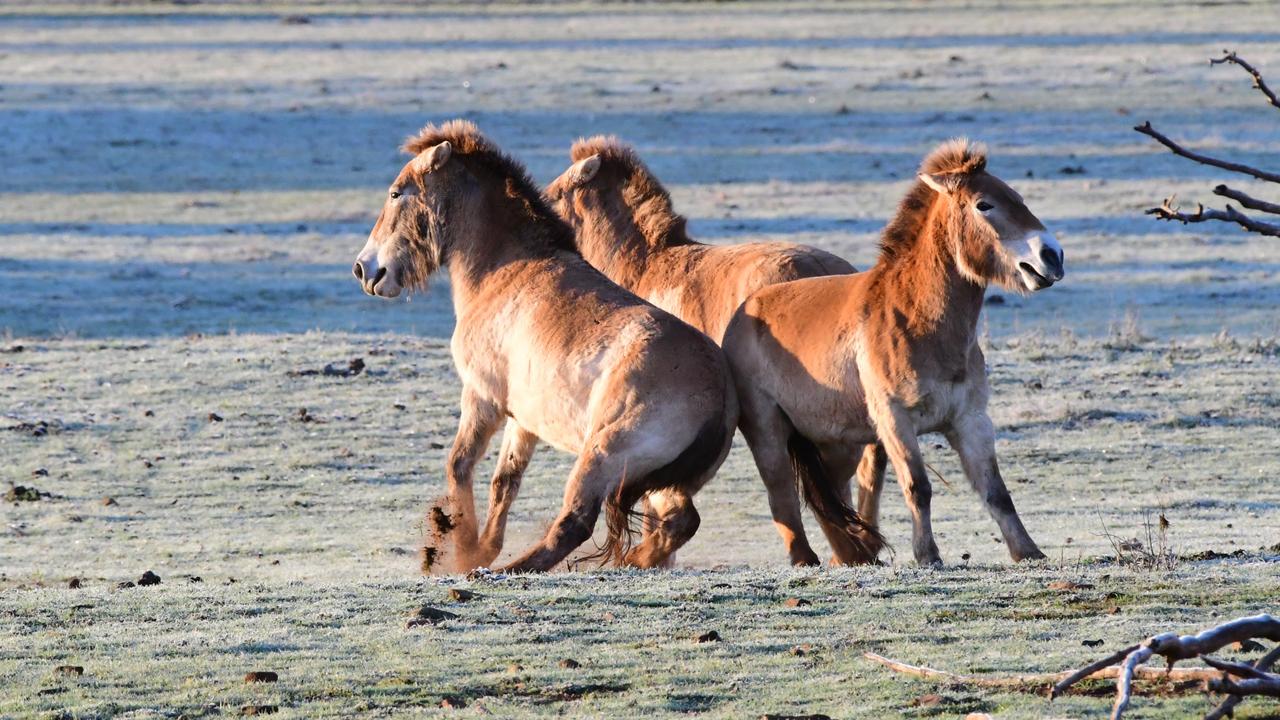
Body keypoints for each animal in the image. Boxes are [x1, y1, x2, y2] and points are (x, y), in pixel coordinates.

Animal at [350, 122, 737, 571]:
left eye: (397, 193)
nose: (365, 269)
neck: (507, 269)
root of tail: (719, 396)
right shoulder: (523, 420)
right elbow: (505, 480)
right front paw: (482, 547)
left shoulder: (482, 397)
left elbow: (459, 465)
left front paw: (463, 550)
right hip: (659, 482)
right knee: (678, 523)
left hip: (600, 456)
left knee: (576, 522)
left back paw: (508, 571)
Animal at [727, 140, 1064, 563]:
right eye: (984, 204)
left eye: (1018, 198)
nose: (1052, 256)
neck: (917, 319)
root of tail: (745, 311)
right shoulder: (895, 420)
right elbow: (918, 487)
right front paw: (928, 555)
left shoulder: (970, 420)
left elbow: (996, 492)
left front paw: (1029, 552)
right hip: (768, 433)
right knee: (782, 497)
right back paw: (808, 558)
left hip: (833, 444)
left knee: (830, 500)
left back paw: (853, 555)